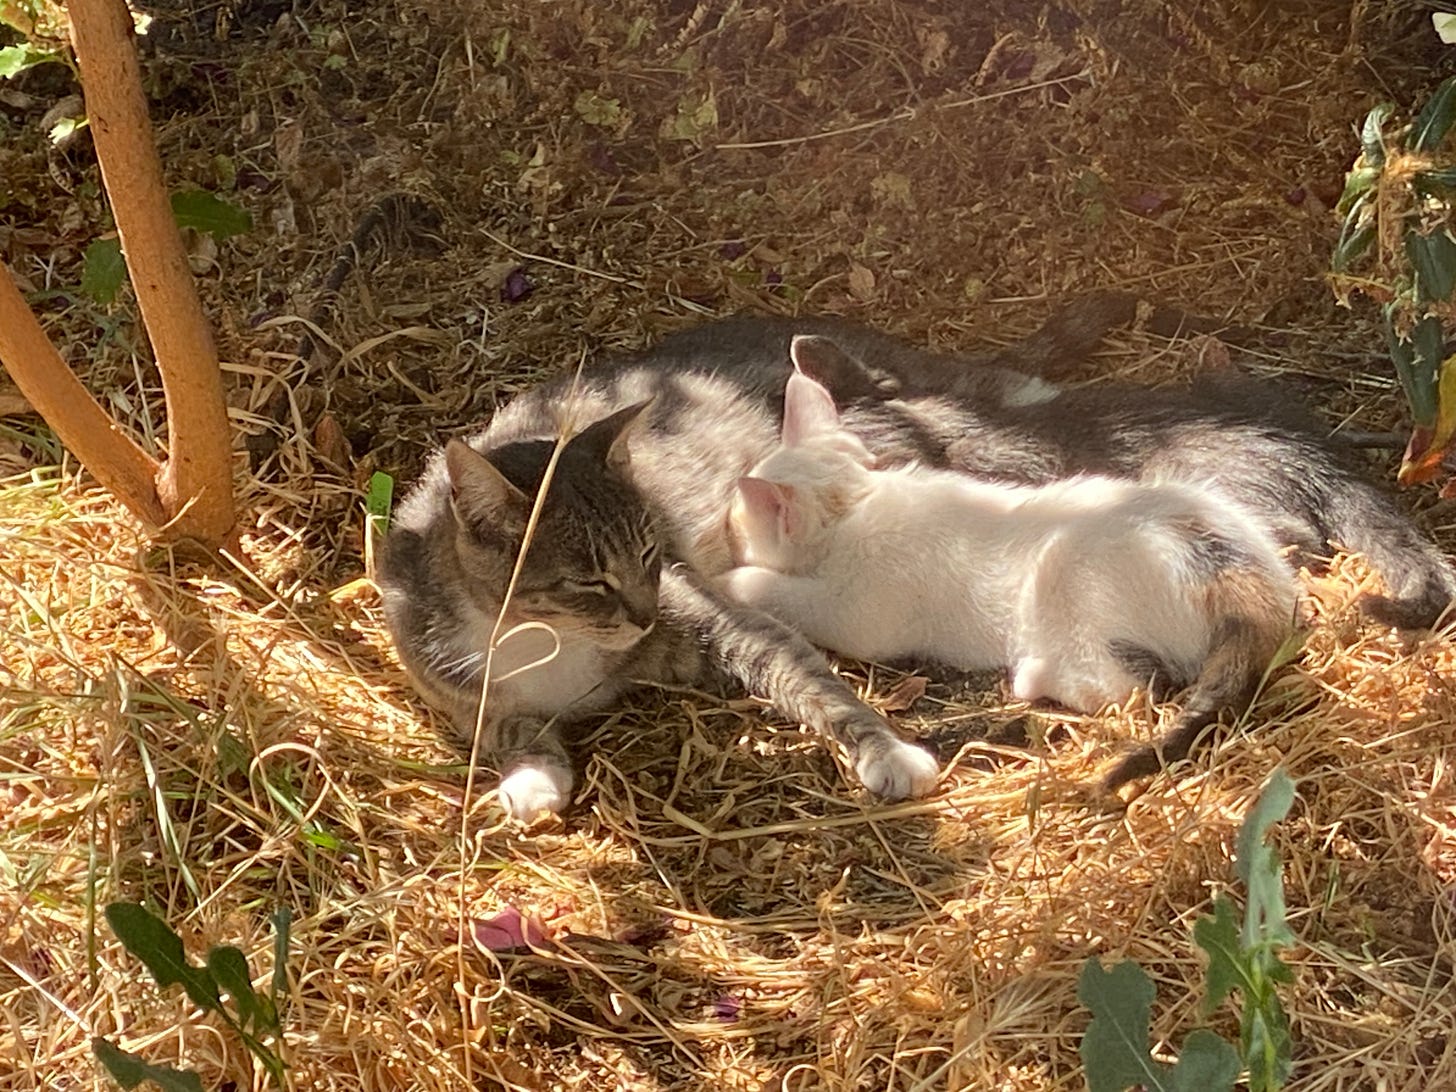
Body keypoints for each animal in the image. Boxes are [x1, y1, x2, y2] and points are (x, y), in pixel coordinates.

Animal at [724, 365, 1300, 782]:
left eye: (736, 519)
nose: (728, 527)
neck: (858, 500)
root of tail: (1230, 560)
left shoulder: (861, 614)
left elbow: (795, 597)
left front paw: (736, 579)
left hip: (1067, 588)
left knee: (1124, 686)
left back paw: (1033, 675)